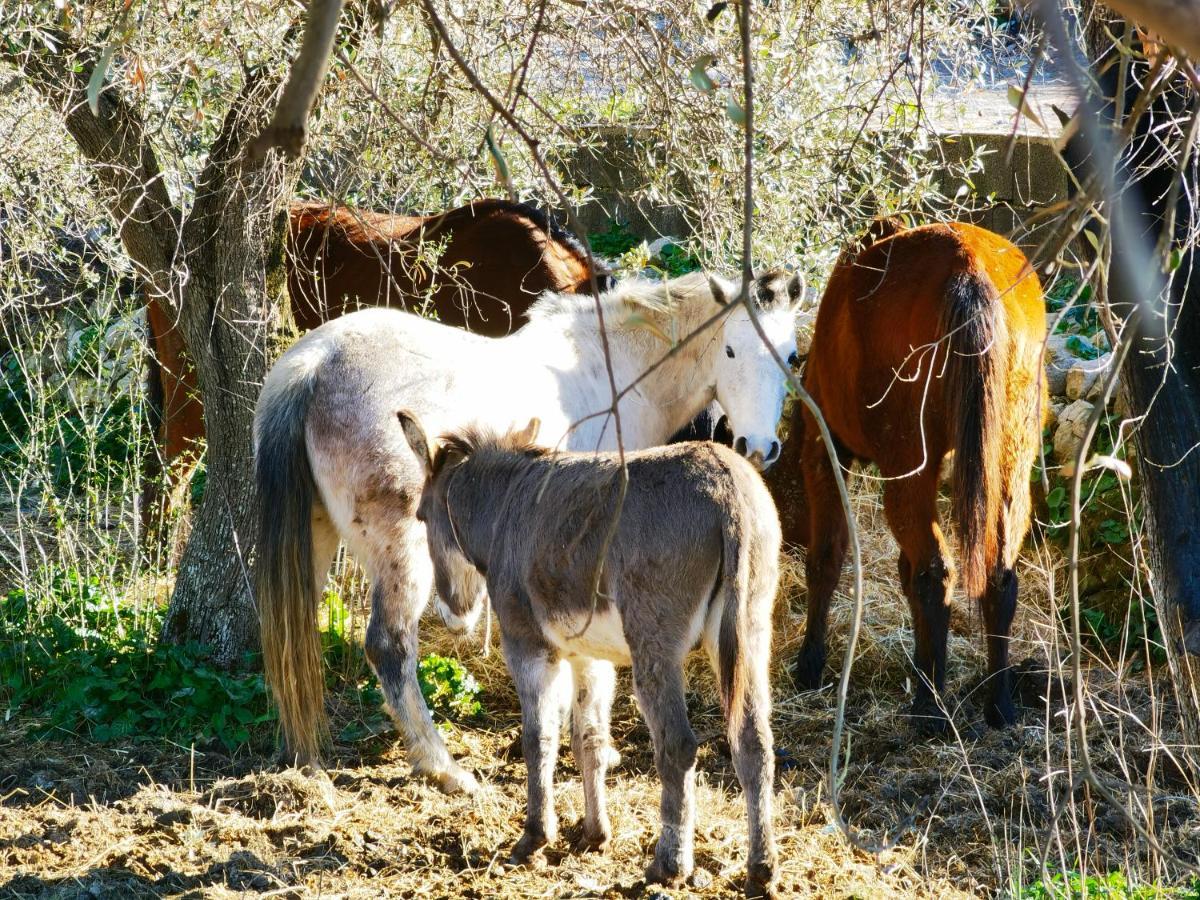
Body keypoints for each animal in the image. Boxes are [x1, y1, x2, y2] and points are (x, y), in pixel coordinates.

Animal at [252, 270, 796, 796]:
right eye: (731, 349)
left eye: (790, 355)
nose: (758, 447)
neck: (611, 371)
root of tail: (316, 363)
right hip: (404, 555)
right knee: (390, 647)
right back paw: (444, 769)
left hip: (315, 538)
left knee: (289, 639)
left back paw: (302, 759)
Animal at [398, 420, 782, 897]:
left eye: (421, 517)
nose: (451, 616)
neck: (505, 508)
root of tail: (727, 486)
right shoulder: (589, 658)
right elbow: (590, 742)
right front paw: (595, 834)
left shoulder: (528, 647)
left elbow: (539, 739)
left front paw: (535, 838)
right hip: (751, 632)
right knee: (755, 743)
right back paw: (761, 870)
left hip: (655, 642)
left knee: (677, 744)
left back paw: (669, 865)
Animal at [772, 220, 1046, 734]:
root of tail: (966, 266)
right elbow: (904, 571)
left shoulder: (824, 451)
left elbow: (827, 557)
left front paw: (810, 664)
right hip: (1010, 454)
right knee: (994, 574)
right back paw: (998, 703)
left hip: (907, 459)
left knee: (935, 571)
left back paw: (930, 710)